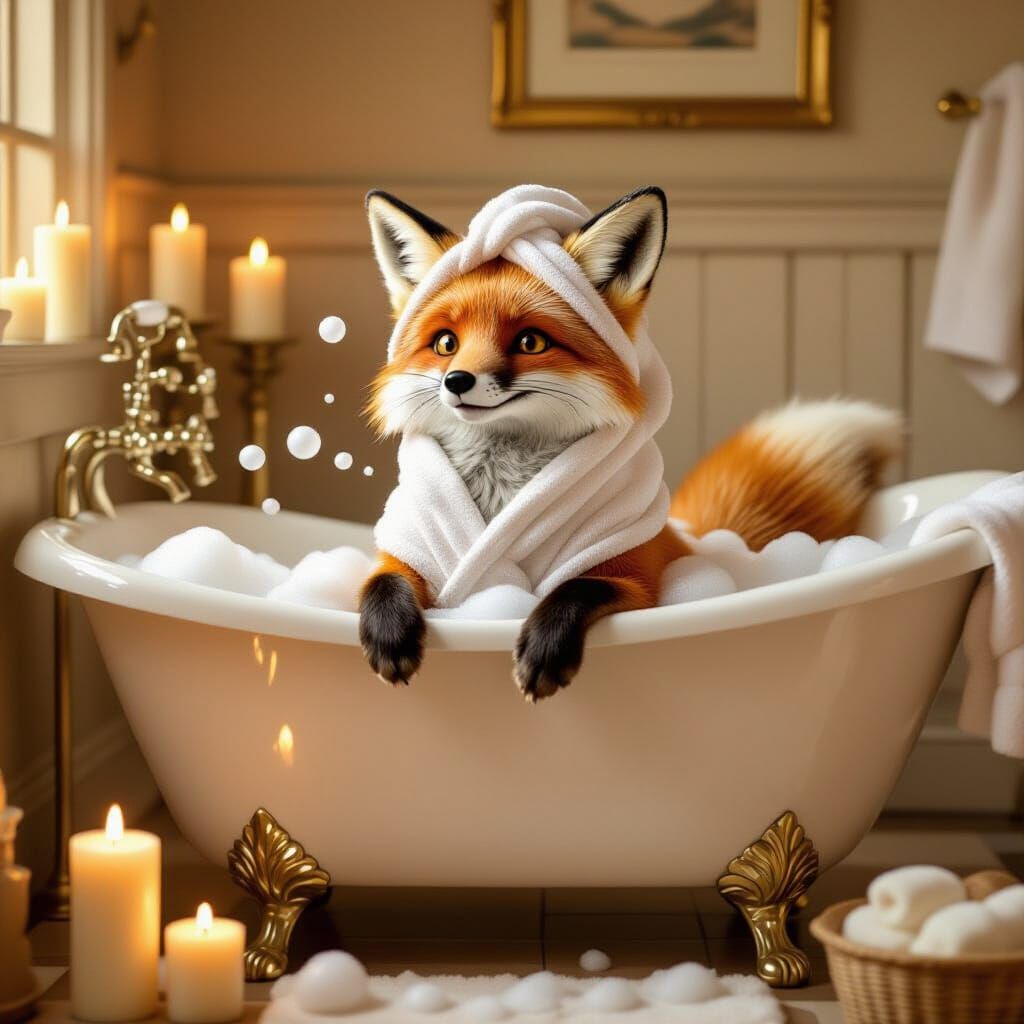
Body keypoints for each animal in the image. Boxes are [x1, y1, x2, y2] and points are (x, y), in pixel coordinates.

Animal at [359, 186, 902, 700]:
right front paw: (387, 634)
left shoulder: (637, 575)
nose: (456, 381)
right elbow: (380, 581)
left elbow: (576, 589)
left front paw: (545, 649)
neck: (502, 489)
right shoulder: (411, 554)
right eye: (445, 343)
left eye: (531, 342)